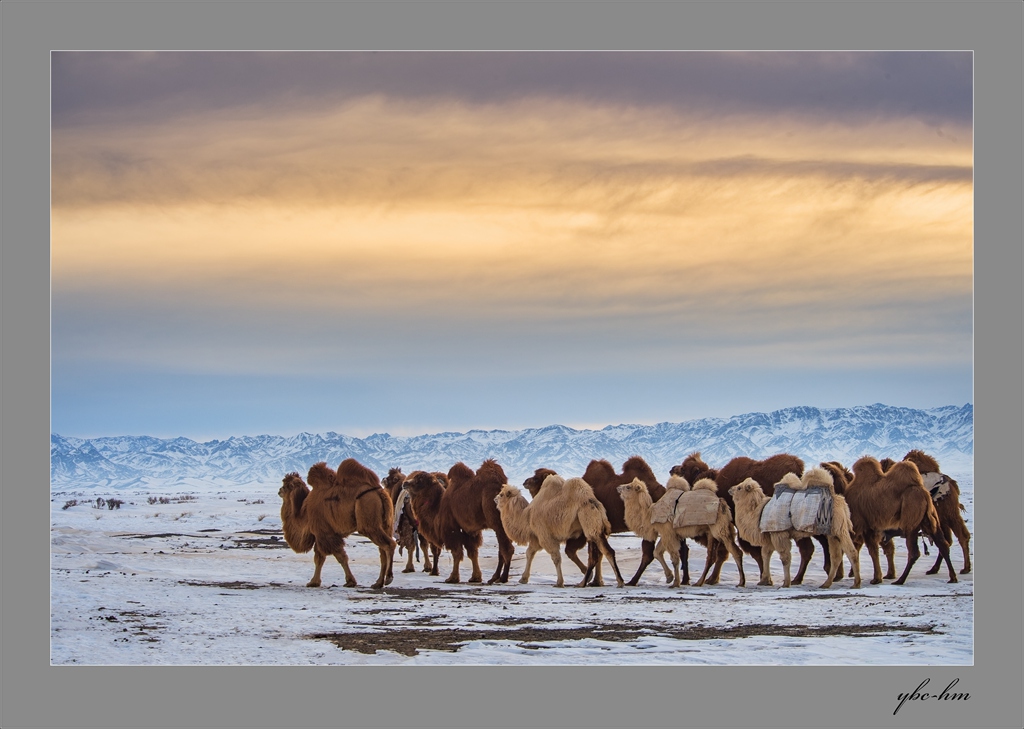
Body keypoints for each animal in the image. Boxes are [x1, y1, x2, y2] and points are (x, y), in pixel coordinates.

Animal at [278, 460, 397, 593]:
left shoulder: (325, 533)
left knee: (389, 544)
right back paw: (378, 583)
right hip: (386, 524)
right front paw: (314, 582)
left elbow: (336, 557)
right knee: (382, 552)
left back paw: (389, 578)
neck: (304, 512)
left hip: (369, 523)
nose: (279, 490)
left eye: (286, 485)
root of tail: (379, 492)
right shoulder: (322, 534)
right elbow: (320, 558)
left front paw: (349, 581)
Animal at [493, 475, 626, 589]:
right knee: (603, 552)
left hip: (588, 521)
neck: (526, 516)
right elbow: (529, 553)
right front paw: (523, 579)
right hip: (597, 528)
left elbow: (556, 558)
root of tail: (595, 504)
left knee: (601, 553)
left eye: (502, 494)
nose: (494, 499)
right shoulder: (537, 537)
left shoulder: (545, 535)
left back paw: (589, 583)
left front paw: (559, 582)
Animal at [614, 475, 745, 589]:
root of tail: (722, 503)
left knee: (734, 551)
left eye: (628, 487)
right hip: (712, 530)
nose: (618, 487)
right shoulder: (668, 533)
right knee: (712, 557)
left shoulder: (667, 531)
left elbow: (674, 557)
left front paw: (675, 583)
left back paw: (740, 582)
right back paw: (699, 582)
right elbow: (657, 552)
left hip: (719, 528)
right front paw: (669, 577)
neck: (649, 514)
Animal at [729, 468, 864, 589]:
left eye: (740, 487)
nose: (730, 489)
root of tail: (840, 501)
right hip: (832, 533)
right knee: (836, 556)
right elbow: (765, 554)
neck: (758, 512)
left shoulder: (779, 533)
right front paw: (765, 581)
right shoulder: (770, 535)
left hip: (839, 528)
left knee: (851, 552)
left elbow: (785, 558)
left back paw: (856, 583)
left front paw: (786, 583)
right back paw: (826, 584)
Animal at [843, 454, 954, 585]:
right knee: (943, 545)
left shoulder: (866, 525)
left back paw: (900, 580)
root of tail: (924, 494)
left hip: (911, 523)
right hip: (930, 520)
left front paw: (876, 578)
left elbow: (872, 551)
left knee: (914, 552)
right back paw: (952, 577)